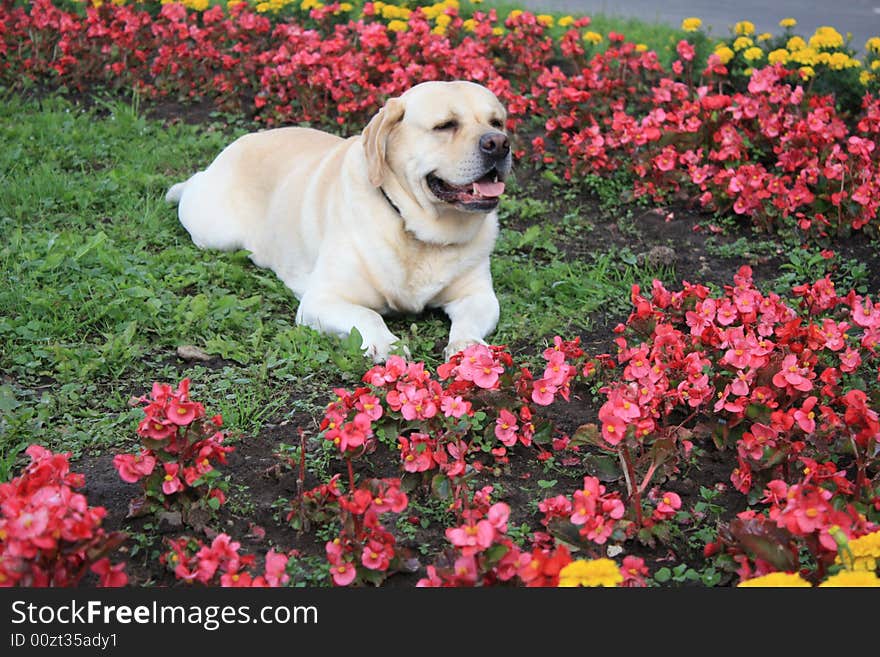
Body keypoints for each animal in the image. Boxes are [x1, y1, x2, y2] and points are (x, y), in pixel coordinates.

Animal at [167, 80, 508, 364]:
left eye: (497, 122)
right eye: (445, 125)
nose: (500, 143)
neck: (413, 227)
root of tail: (238, 143)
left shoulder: (479, 296)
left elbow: (468, 320)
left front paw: (468, 346)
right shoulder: (322, 299)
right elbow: (369, 316)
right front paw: (388, 344)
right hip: (215, 232)